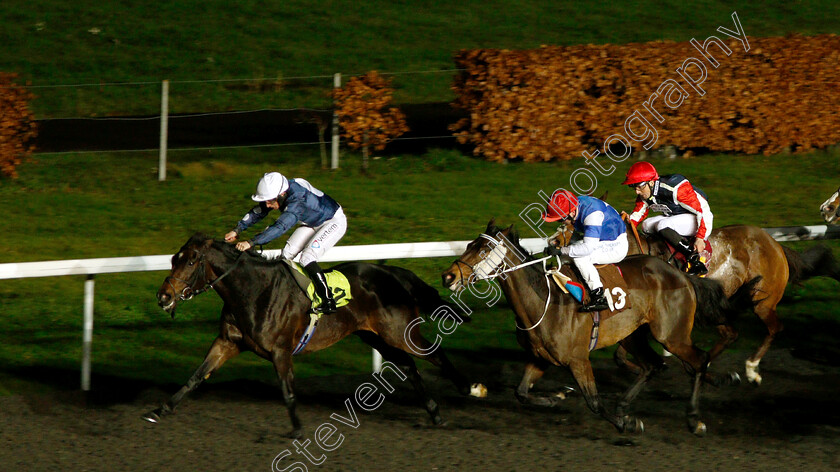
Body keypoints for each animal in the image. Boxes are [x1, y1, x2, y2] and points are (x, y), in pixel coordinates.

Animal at [442, 221, 756, 436]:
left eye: (483, 249)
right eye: (468, 245)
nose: (448, 276)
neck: (544, 300)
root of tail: (681, 274)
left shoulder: (577, 359)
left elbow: (593, 401)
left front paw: (627, 424)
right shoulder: (542, 357)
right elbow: (521, 392)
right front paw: (556, 397)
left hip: (671, 334)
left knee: (697, 361)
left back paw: (695, 418)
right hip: (632, 335)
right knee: (653, 365)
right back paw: (626, 404)